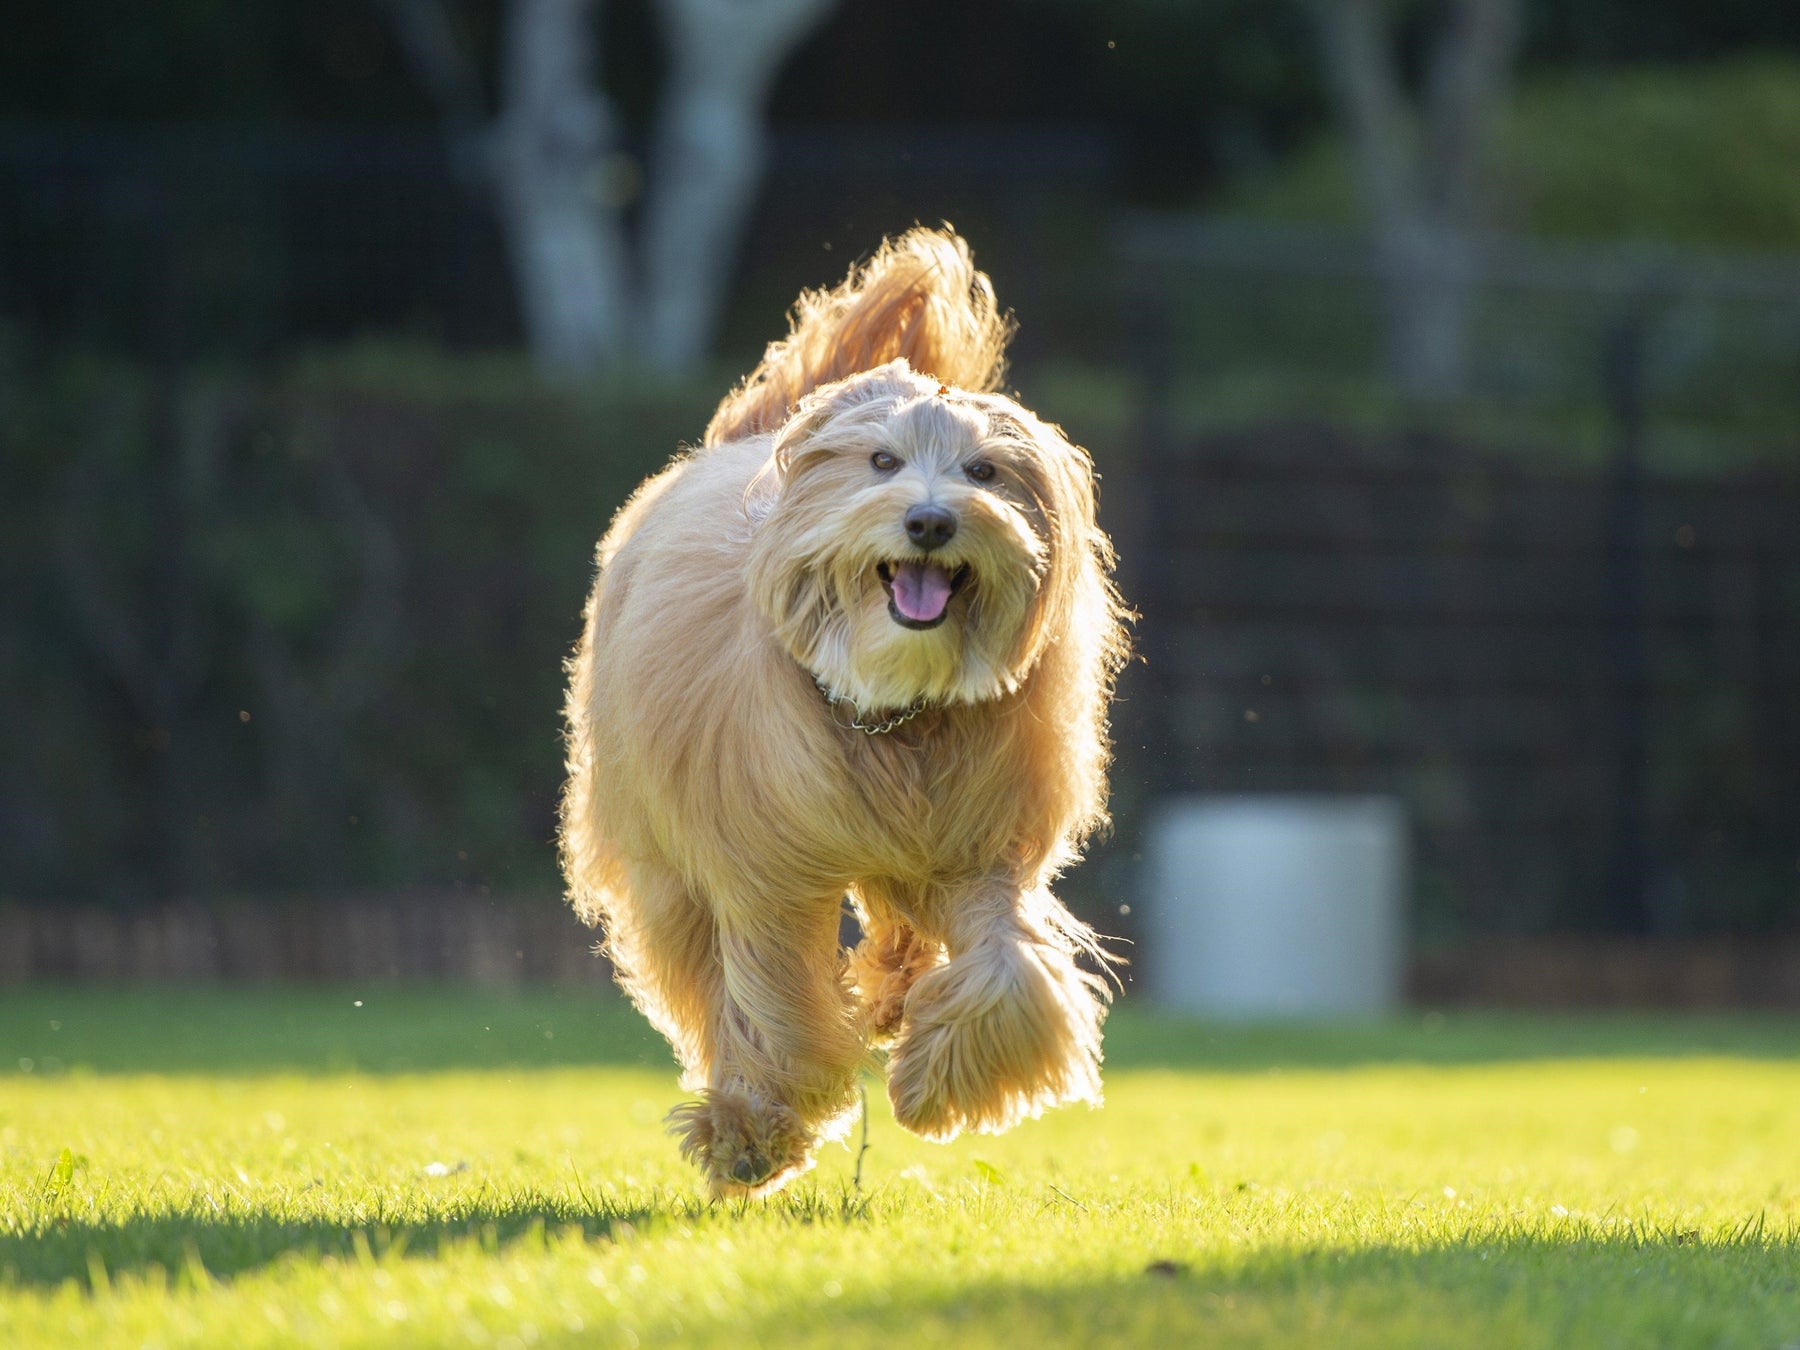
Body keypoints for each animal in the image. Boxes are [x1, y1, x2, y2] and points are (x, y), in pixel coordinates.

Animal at [558, 230, 1123, 1195]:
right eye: (882, 463)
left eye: (985, 471)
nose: (931, 522)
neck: (889, 714)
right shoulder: (760, 874)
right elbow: (774, 1001)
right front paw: (758, 1130)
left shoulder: (980, 848)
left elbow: (1012, 971)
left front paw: (934, 1084)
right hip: (662, 859)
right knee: (702, 976)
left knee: (899, 924)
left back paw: (895, 993)